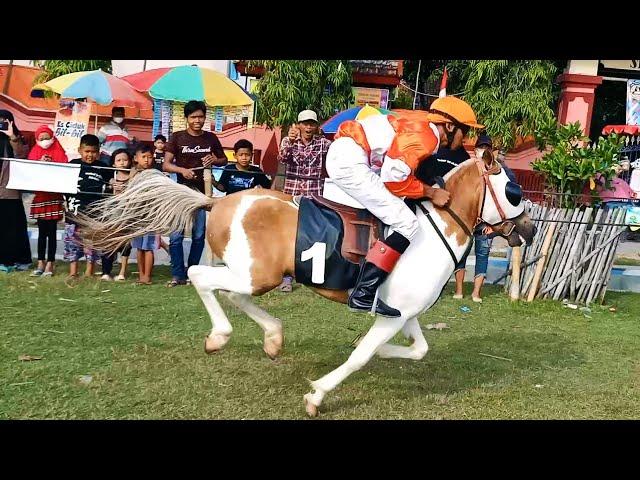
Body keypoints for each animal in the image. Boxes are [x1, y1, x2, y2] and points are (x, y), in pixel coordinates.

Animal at [76, 155, 536, 416]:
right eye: (513, 190)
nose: (529, 230)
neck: (433, 230)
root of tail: (218, 200)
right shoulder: (392, 316)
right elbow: (361, 358)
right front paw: (318, 395)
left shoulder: (403, 314)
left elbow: (417, 350)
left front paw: (380, 352)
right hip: (254, 275)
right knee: (199, 277)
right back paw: (220, 335)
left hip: (254, 276)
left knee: (230, 294)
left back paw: (272, 337)